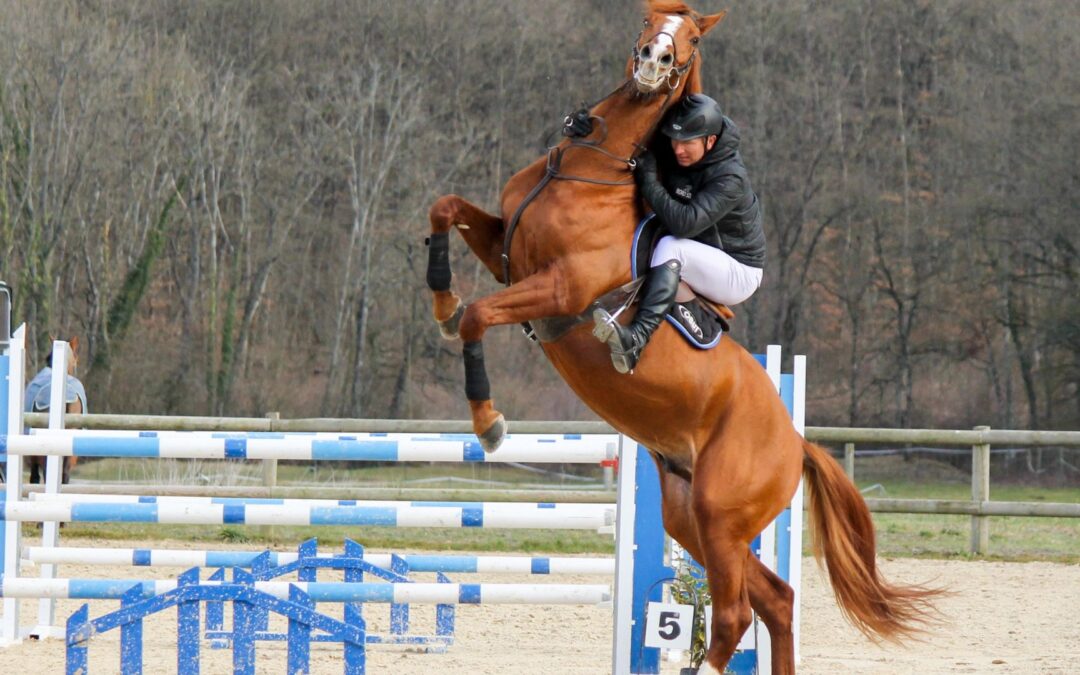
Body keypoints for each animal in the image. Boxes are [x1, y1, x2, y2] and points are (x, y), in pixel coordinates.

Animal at [424, 1, 939, 672]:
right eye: (649, 19)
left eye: (691, 38)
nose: (654, 59)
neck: (591, 166)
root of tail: (797, 444)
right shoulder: (506, 253)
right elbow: (444, 208)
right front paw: (441, 299)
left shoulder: (559, 289)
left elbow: (479, 317)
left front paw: (488, 421)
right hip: (688, 513)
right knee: (774, 600)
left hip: (720, 515)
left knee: (735, 614)